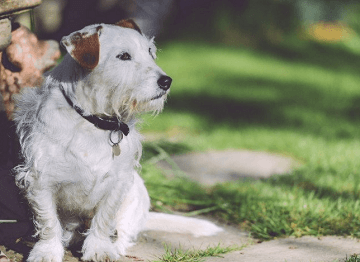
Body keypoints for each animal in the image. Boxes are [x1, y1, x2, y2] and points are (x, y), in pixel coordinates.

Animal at [13, 18, 222, 262]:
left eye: (150, 52)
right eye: (123, 56)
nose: (166, 81)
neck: (93, 122)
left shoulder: (117, 182)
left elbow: (104, 219)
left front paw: (99, 249)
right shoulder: (40, 180)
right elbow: (48, 222)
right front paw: (47, 251)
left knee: (121, 231)